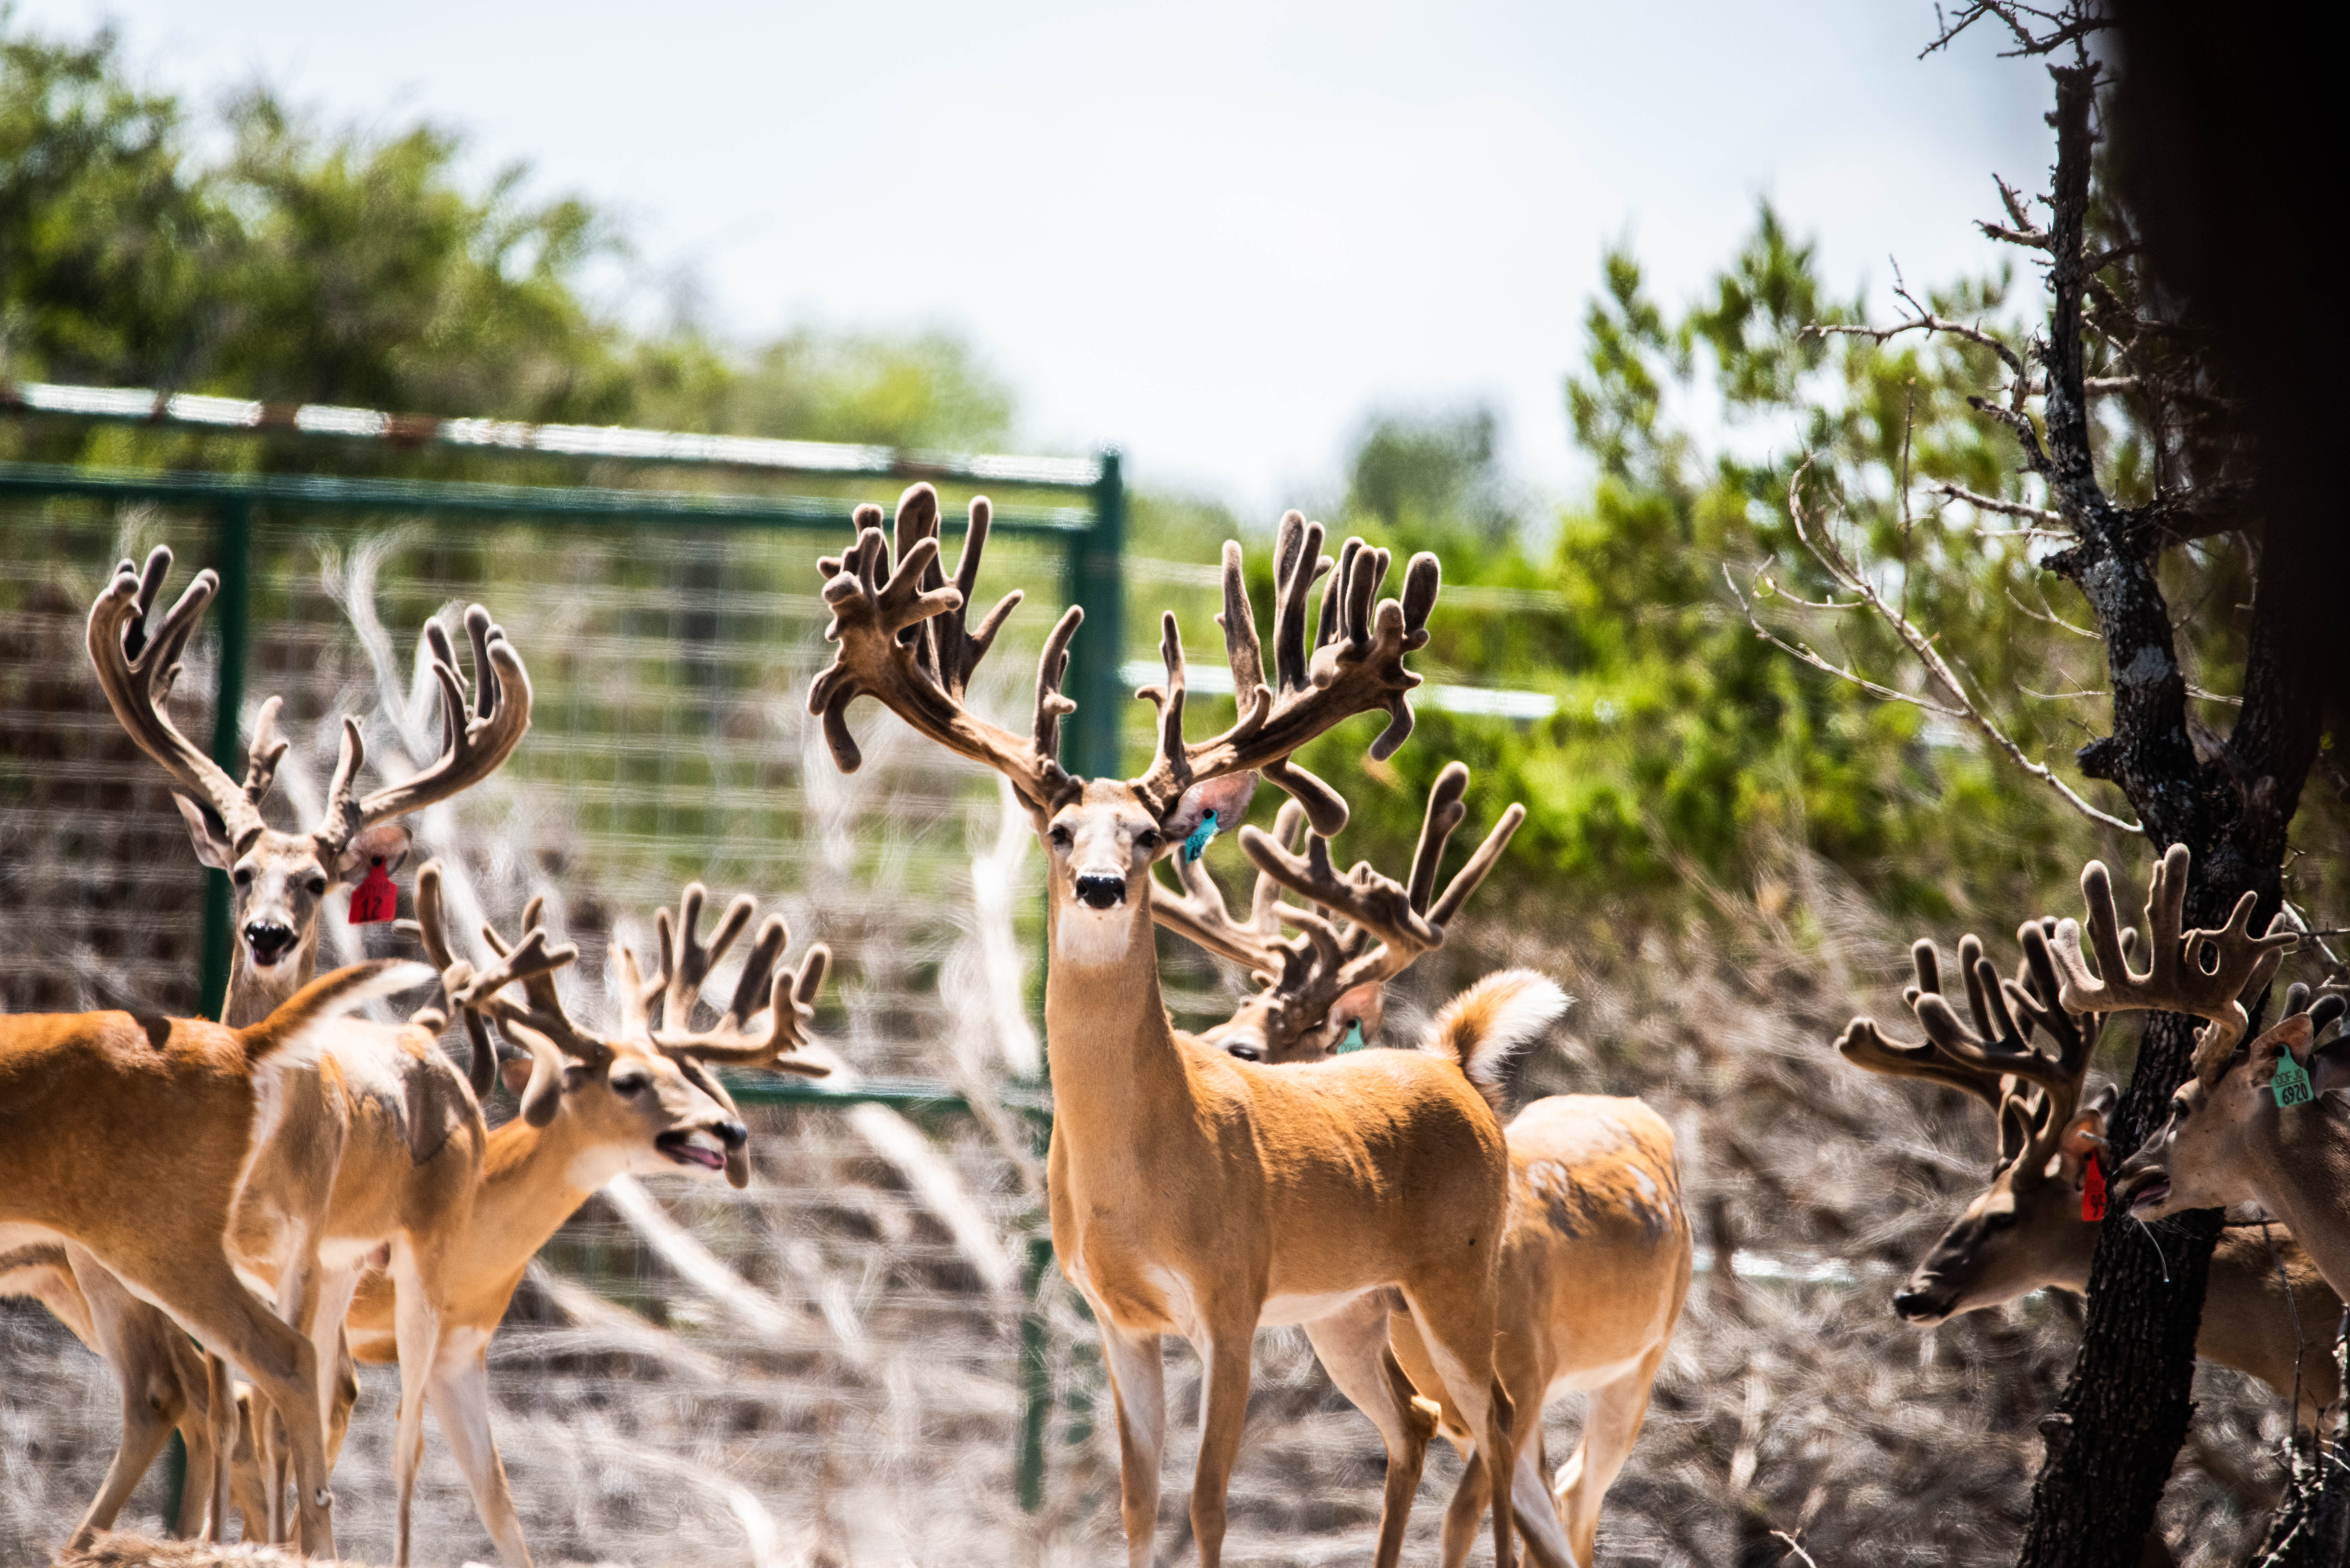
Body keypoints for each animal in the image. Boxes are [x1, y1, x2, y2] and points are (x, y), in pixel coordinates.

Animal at [73, 546, 535, 1558]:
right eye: (243, 872)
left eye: (320, 880)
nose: (268, 934)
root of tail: (441, 1060)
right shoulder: (213, 1246)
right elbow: (226, 1402)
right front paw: (217, 1534)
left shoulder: (300, 1241)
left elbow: (284, 1410)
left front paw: (290, 1537)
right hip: (346, 1268)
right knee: (307, 1398)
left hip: (418, 1255)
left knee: (398, 1428)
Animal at [808, 483, 1524, 1568]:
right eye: (1060, 830)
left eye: (1147, 833)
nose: (1101, 885)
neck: (1141, 1166)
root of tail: (1458, 1076)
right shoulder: (1119, 1317)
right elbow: (1139, 1502)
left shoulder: (1231, 1297)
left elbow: (1208, 1501)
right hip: (1357, 1309)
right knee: (1419, 1425)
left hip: (1455, 1275)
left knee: (1498, 1422)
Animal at [1155, 769, 1692, 1568]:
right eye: (1223, 1019)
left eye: (1245, 1049)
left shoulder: (1530, 1368)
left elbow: (1468, 1511)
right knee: (1553, 1499)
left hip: (1635, 1363)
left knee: (1571, 1496)